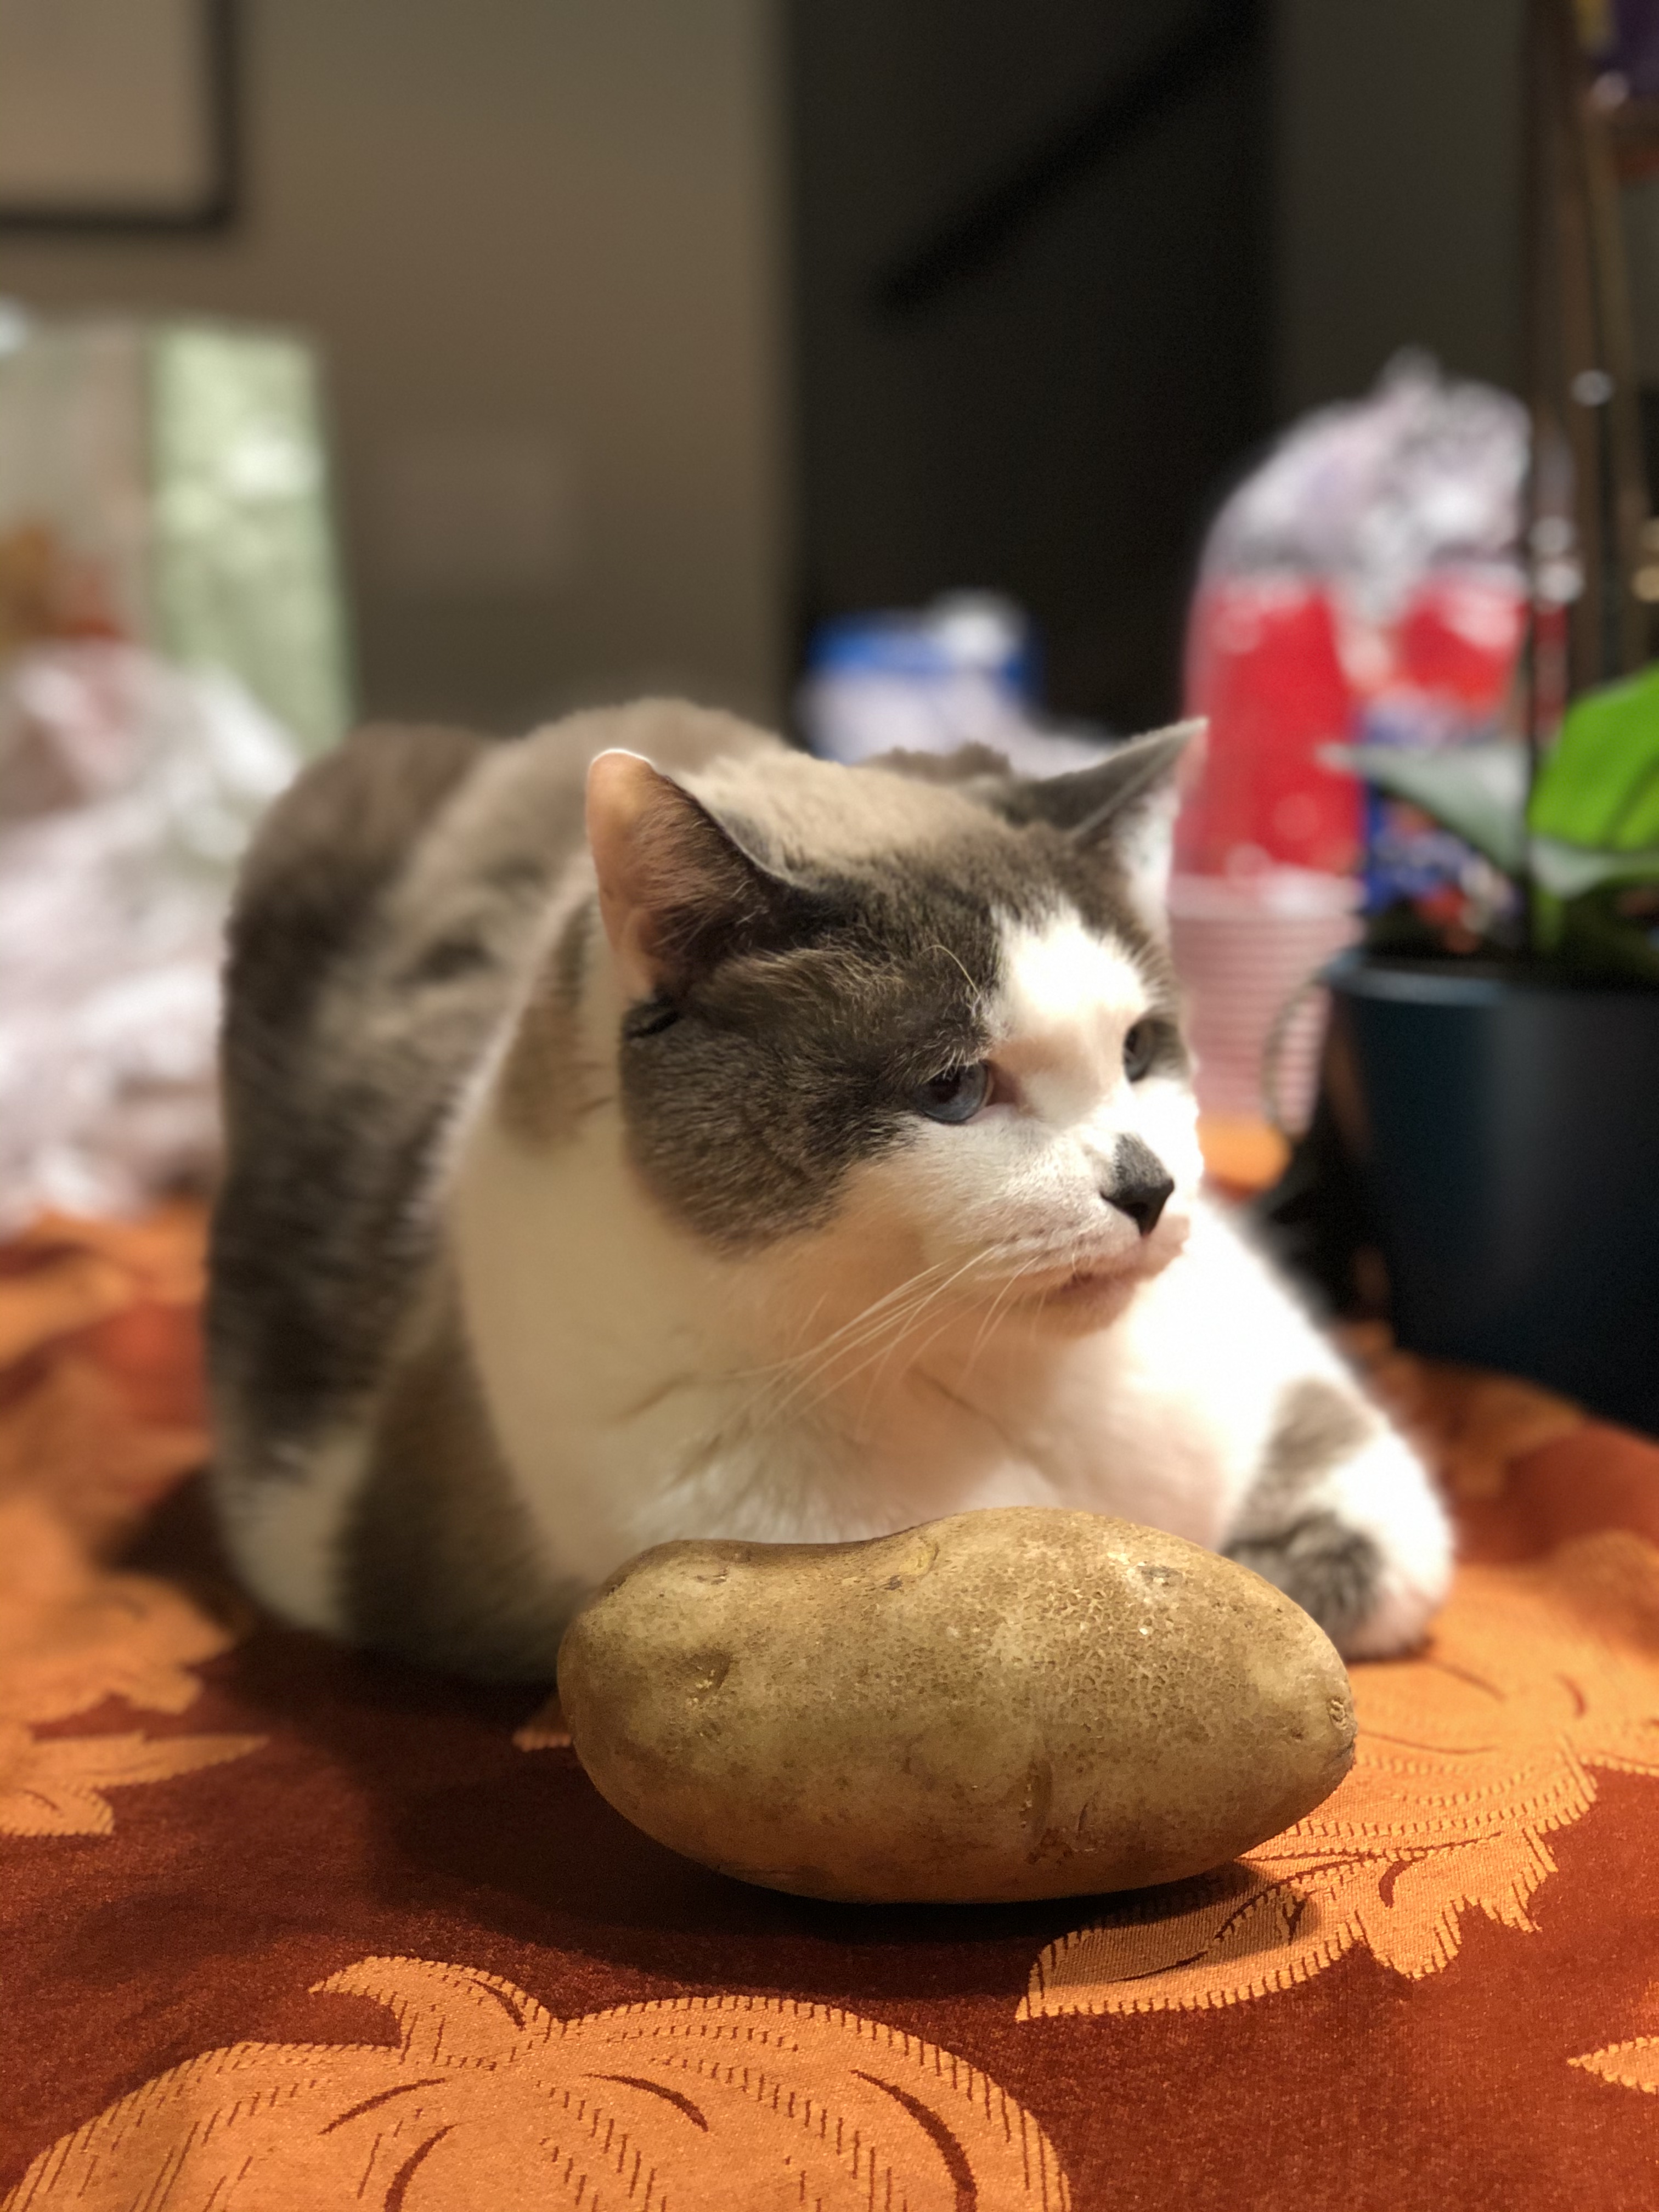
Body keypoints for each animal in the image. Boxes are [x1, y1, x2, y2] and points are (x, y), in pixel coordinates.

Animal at [208, 699, 1451, 1681]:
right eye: (953, 1088)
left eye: (1139, 1050)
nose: (1149, 1188)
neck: (999, 1379)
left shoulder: (1279, 1382)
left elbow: (1367, 1554)